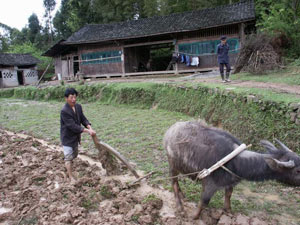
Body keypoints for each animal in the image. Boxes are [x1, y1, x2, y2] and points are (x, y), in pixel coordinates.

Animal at [164, 121, 300, 220]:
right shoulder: (210, 184)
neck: (236, 162)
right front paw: (194, 216)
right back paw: (180, 206)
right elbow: (204, 201)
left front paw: (228, 211)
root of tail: (171, 130)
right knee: (174, 182)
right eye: (298, 171)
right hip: (173, 164)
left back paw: (182, 195)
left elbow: (228, 195)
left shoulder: (230, 182)